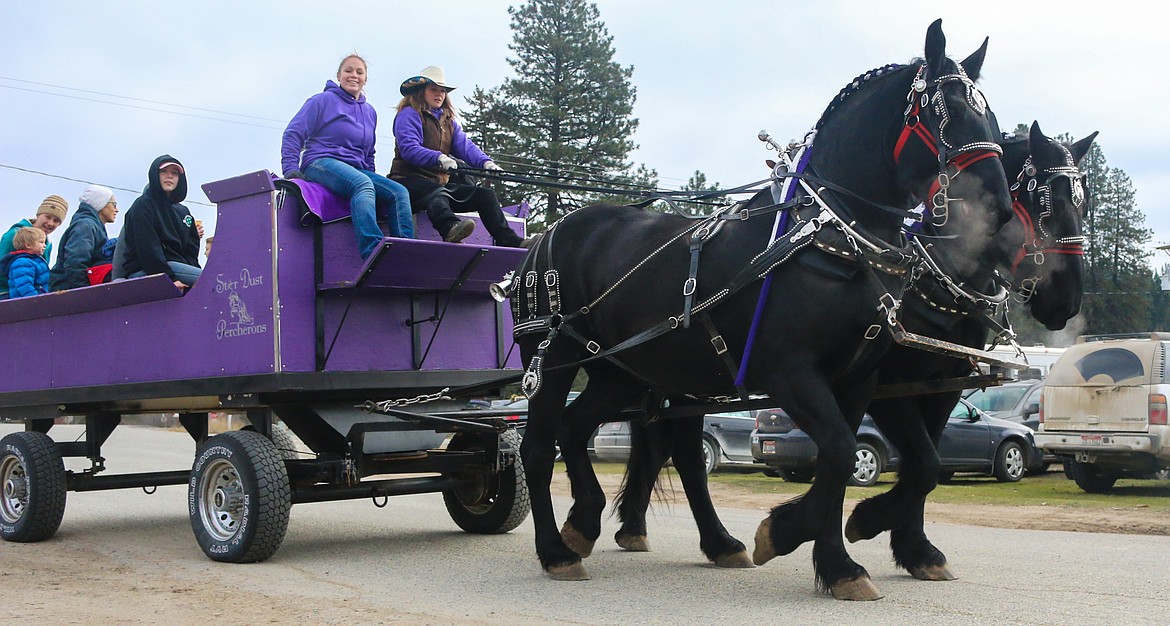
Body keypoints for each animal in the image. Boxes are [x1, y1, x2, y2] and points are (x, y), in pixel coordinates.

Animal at [517, 18, 1010, 603]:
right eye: (945, 110)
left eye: (992, 116)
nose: (999, 207)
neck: (830, 240)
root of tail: (548, 233)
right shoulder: (790, 373)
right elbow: (841, 453)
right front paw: (800, 536)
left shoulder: (858, 379)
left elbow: (864, 461)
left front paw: (832, 555)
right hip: (553, 364)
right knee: (539, 447)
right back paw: (555, 550)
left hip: (623, 372)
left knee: (585, 430)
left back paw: (604, 523)